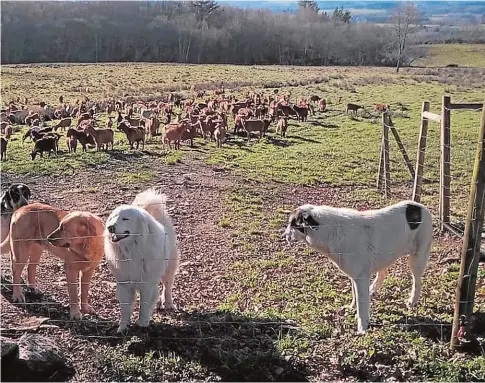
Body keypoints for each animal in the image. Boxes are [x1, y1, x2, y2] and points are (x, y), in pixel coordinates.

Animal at [105, 189, 180, 332]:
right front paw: (122, 328)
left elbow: (144, 307)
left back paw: (168, 303)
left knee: (167, 287)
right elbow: (125, 309)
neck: (132, 250)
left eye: (125, 219)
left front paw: (142, 324)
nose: (110, 227)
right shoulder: (124, 284)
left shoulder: (147, 285)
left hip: (169, 268)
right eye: (113, 217)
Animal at [284, 200, 432, 334]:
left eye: (292, 224)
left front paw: (362, 328)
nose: (284, 235)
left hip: (417, 259)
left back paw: (412, 300)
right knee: (383, 272)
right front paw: (352, 308)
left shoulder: (361, 278)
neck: (330, 230)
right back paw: (373, 288)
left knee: (417, 281)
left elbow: (362, 306)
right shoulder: (355, 276)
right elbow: (355, 295)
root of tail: (420, 206)